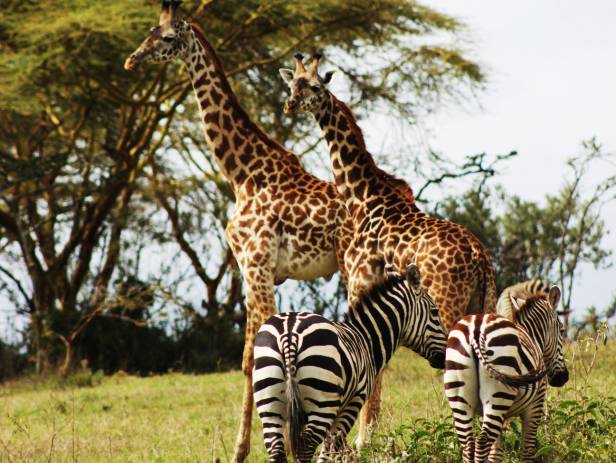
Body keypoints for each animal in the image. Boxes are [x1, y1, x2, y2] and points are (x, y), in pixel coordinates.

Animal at [123, 3, 352, 460]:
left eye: (168, 38)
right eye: (149, 30)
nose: (132, 60)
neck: (243, 173)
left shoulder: (257, 265)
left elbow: (256, 353)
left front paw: (269, 445)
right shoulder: (250, 269)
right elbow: (248, 356)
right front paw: (244, 448)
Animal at [253, 266, 446, 462]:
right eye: (435, 311)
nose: (444, 357)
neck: (365, 339)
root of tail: (289, 334)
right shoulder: (352, 403)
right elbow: (332, 448)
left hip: (269, 403)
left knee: (276, 449)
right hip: (322, 402)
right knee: (307, 446)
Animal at [282, 53, 498, 446]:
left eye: (315, 86)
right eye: (292, 85)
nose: (291, 104)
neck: (362, 195)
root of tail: (480, 259)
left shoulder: (359, 284)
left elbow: (372, 358)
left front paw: (362, 440)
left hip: (448, 305)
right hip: (482, 302)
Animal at [442, 284, 568, 462]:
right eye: (562, 331)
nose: (563, 377)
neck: (532, 335)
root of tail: (475, 329)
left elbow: (496, 453)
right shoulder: (535, 404)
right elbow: (527, 450)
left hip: (460, 395)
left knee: (468, 444)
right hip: (499, 394)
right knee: (482, 442)